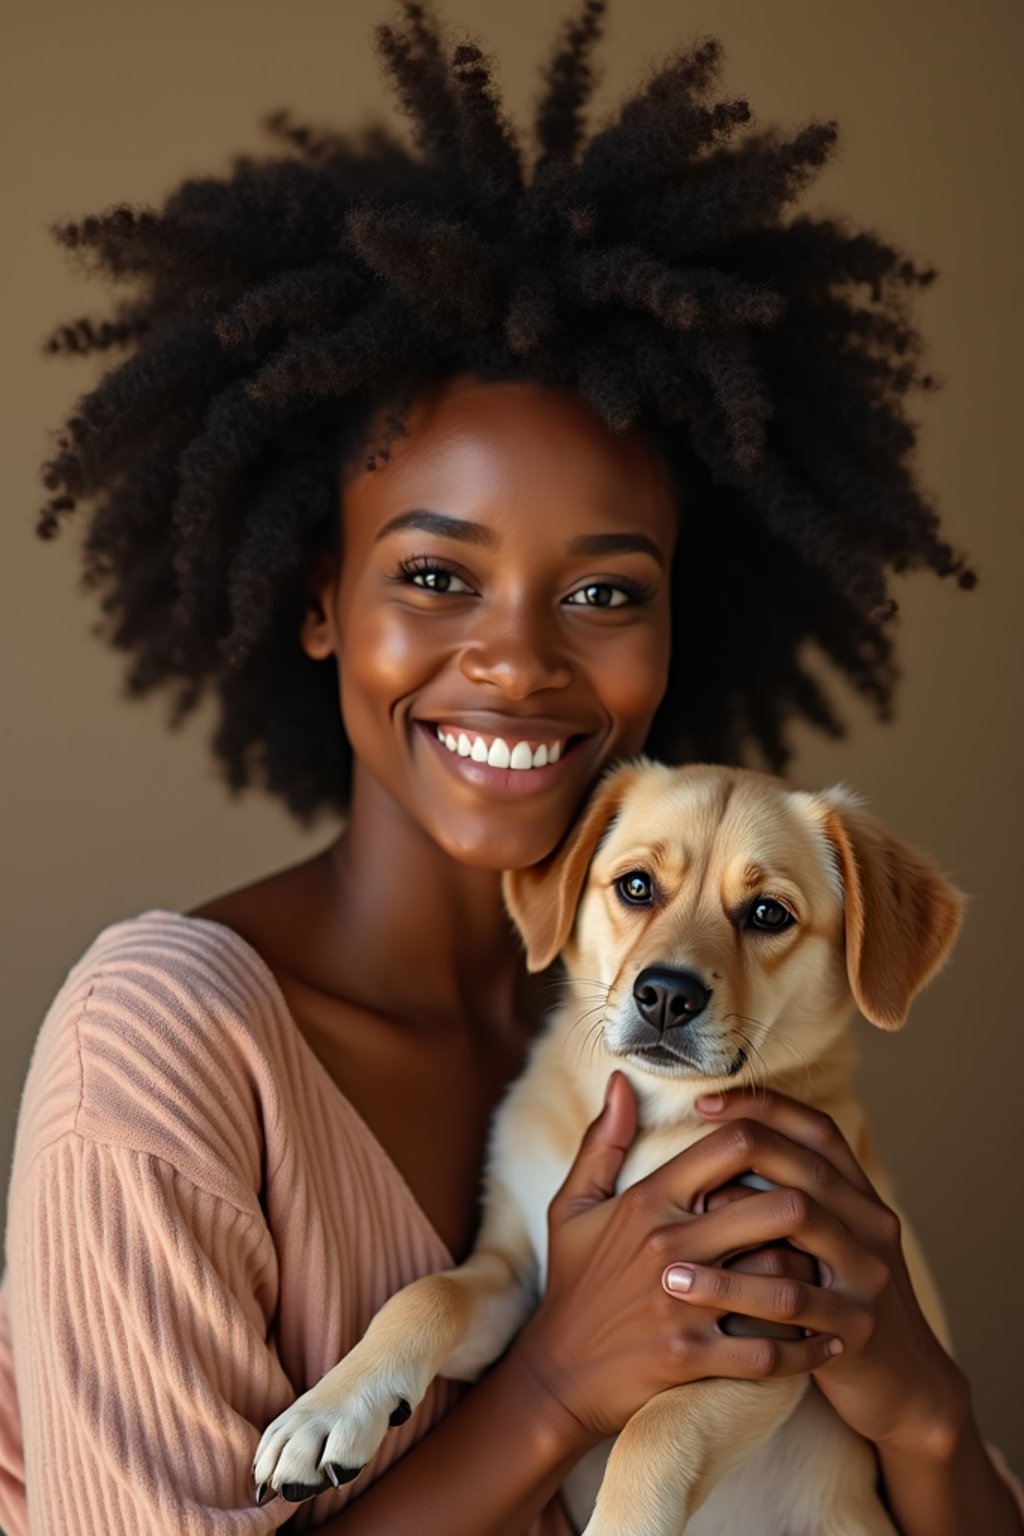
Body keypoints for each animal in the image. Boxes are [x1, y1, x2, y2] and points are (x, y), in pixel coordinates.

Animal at [251, 761, 964, 1529]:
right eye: (637, 886)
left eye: (769, 914)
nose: (666, 996)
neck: (657, 1116)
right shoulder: (519, 1275)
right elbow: (428, 1294)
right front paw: (328, 1410)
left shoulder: (771, 1328)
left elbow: (656, 1430)